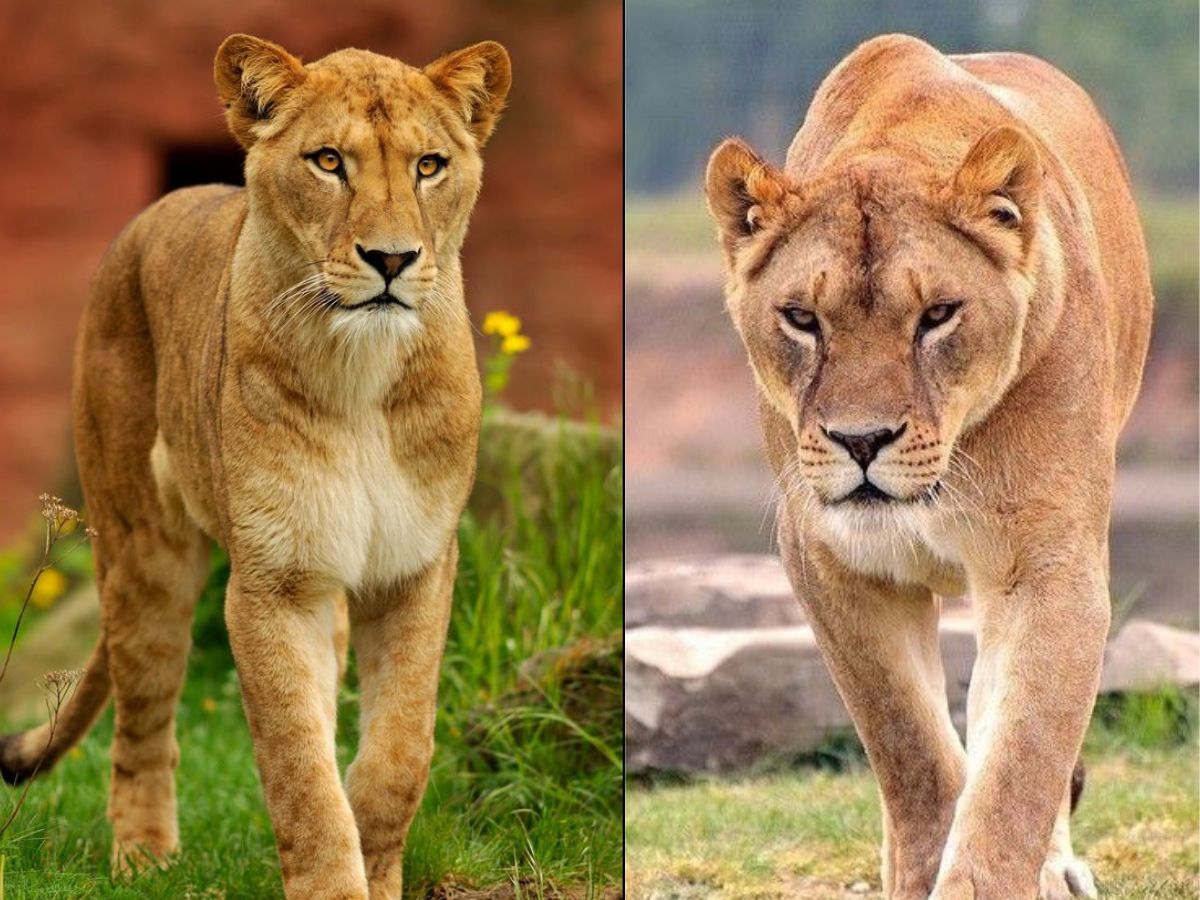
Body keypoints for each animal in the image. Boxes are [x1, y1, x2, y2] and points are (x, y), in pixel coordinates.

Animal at [0, 33, 510, 899]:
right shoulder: (273, 583)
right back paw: (143, 859)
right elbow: (298, 769)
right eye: (329, 161)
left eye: (430, 165)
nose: (392, 258)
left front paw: (377, 868)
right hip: (145, 555)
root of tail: (153, 211)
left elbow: (397, 754)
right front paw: (335, 885)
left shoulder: (414, 567)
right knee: (142, 724)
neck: (362, 375)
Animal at [705, 34, 1151, 900]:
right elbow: (911, 752)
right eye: (801, 319)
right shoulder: (834, 567)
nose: (862, 440)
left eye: (938, 315)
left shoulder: (1047, 562)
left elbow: (1019, 766)